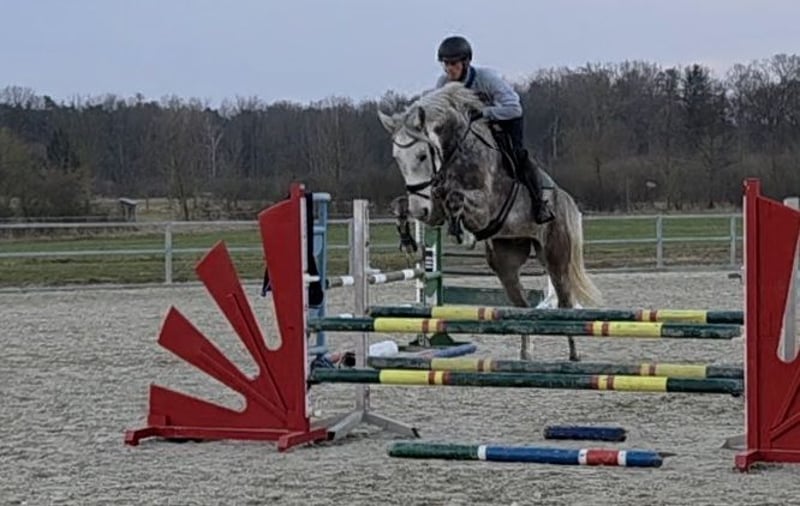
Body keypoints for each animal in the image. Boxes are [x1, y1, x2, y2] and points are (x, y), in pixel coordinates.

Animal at [378, 81, 602, 362]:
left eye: (421, 155)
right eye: (397, 158)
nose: (421, 212)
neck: (456, 152)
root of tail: (564, 199)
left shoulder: (484, 207)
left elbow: (457, 199)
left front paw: (463, 234)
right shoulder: (433, 203)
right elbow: (402, 204)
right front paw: (408, 239)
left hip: (555, 257)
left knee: (564, 303)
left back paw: (573, 353)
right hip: (505, 262)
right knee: (522, 306)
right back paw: (525, 355)